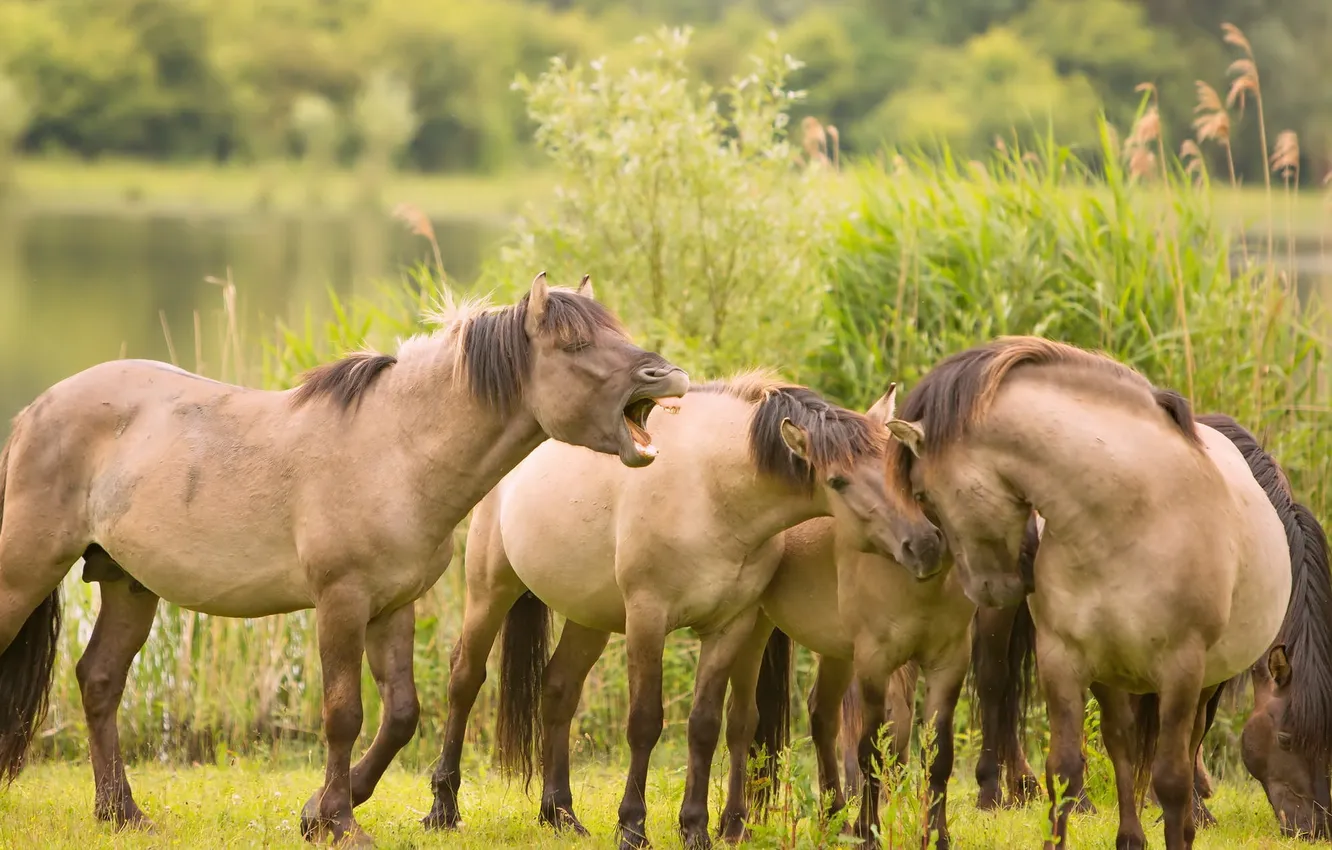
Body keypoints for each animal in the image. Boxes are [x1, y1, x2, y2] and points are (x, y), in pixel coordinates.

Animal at [0, 272, 689, 847]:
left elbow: (402, 714)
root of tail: (34, 410)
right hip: (25, 570)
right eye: (575, 344)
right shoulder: (341, 602)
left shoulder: (392, 606)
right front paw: (339, 822)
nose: (669, 376)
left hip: (128, 583)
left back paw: (121, 813)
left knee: (99, 680)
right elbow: (343, 714)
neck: (396, 450)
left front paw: (321, 810)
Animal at [421, 373, 944, 850]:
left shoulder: (731, 626)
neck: (711, 488)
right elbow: (645, 722)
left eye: (901, 467)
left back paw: (560, 815)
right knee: (465, 678)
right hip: (490, 588)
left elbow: (705, 725)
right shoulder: (647, 619)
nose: (923, 543)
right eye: (838, 480)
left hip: (589, 618)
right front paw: (633, 828)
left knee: (558, 690)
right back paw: (443, 809)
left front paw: (695, 829)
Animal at [884, 336, 1332, 850]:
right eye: (1285, 740)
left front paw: (1187, 816)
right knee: (999, 682)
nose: (1316, 827)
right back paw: (999, 790)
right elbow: (1069, 765)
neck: (1125, 518)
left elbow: (1172, 761)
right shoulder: (1064, 656)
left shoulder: (1190, 666)